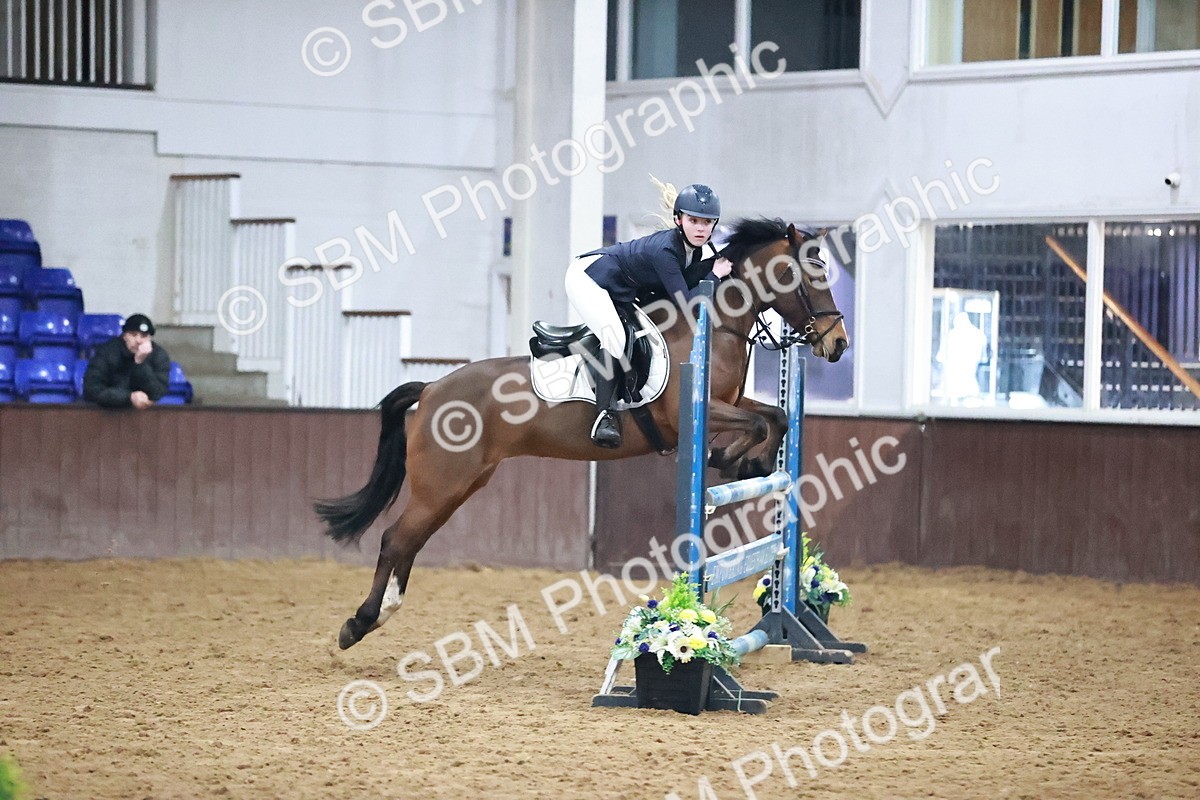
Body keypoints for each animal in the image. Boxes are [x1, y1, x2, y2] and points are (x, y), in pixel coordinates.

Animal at [317, 218, 850, 649]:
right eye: (812, 275)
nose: (838, 344)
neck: (718, 326)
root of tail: (430, 388)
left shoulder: (731, 403)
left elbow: (775, 418)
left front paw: (746, 462)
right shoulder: (694, 412)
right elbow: (760, 422)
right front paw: (737, 459)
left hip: (462, 485)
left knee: (410, 541)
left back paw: (380, 614)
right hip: (441, 483)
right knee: (395, 539)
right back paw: (359, 623)